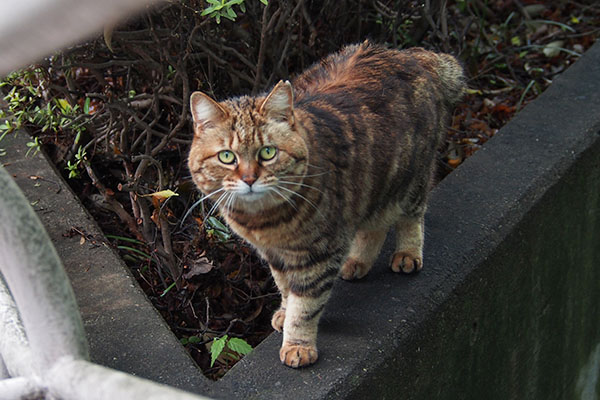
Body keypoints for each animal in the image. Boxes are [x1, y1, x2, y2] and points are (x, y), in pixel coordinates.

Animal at [188, 40, 464, 368]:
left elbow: (305, 307)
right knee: (374, 227)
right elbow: (285, 288)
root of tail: (410, 54)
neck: (266, 221)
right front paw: (284, 312)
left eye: (268, 152)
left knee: (412, 217)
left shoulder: (318, 254)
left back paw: (407, 253)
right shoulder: (275, 255)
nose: (249, 179)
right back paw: (357, 261)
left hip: (410, 179)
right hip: (369, 190)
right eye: (227, 157)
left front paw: (298, 344)